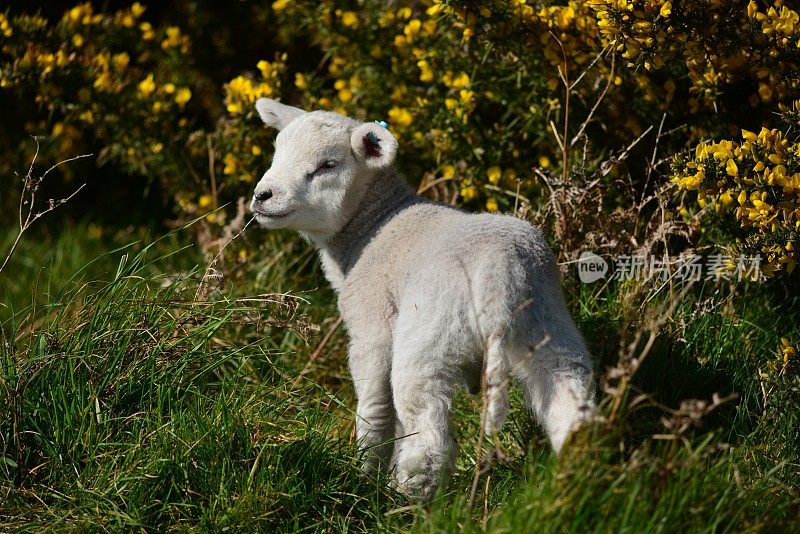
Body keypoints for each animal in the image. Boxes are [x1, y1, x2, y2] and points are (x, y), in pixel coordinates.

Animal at [250, 98, 592, 504]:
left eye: (327, 165)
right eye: (277, 151)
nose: (262, 196)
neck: (373, 225)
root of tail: (499, 274)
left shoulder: (372, 326)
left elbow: (376, 407)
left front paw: (364, 474)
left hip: (430, 332)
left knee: (425, 427)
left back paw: (404, 500)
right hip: (547, 321)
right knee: (569, 396)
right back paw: (576, 478)